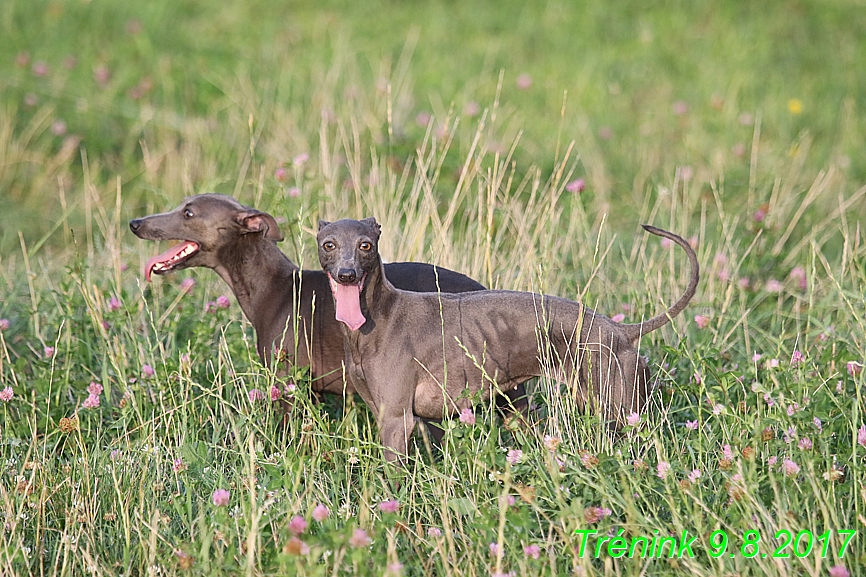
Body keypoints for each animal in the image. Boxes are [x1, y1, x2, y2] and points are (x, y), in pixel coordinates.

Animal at [316, 216, 696, 460]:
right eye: (329, 245)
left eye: (366, 245)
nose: (347, 275)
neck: (378, 317)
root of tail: (619, 330)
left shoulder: (397, 420)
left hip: (621, 410)